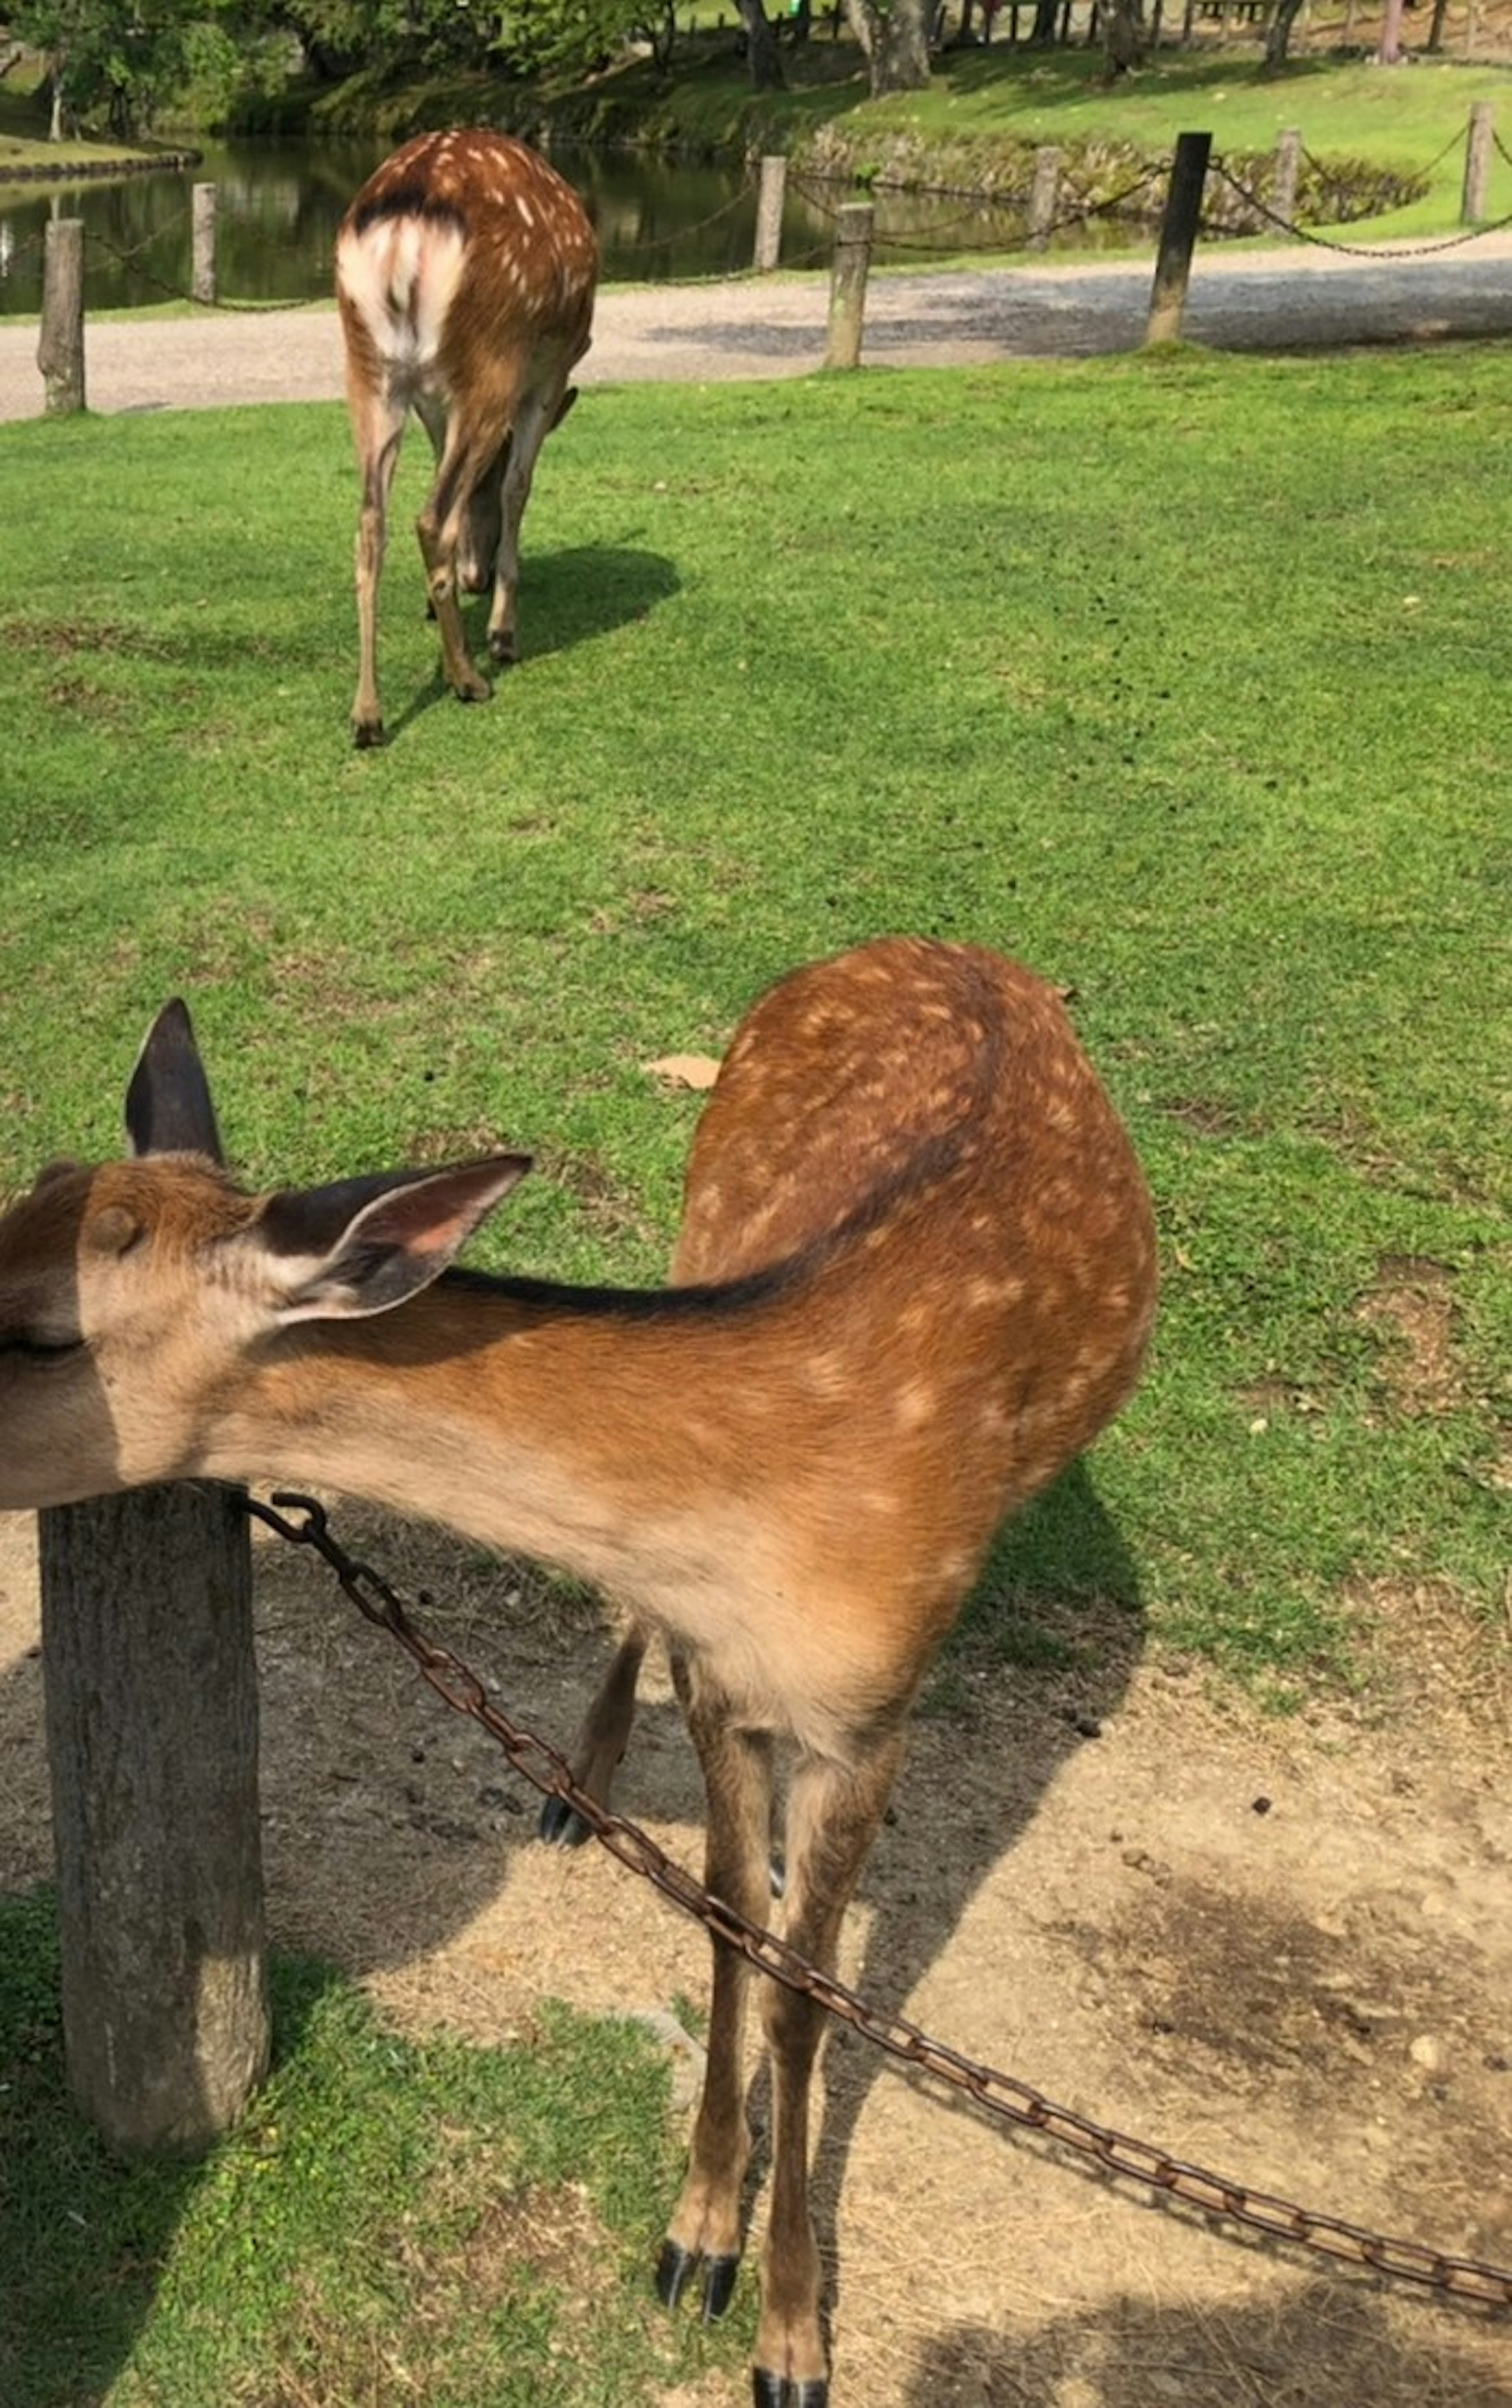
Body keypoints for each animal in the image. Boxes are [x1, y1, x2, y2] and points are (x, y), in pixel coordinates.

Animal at [0, 939, 1156, 2408]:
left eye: (45, 1332)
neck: (779, 1513)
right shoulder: (722, 1674)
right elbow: (724, 1921)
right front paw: (699, 2238)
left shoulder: (868, 1715)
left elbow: (802, 2000)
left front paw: (787, 2334)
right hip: (702, 1210)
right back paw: (579, 1785)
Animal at [337, 129, 597, 741]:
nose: (476, 577)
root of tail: (403, 234)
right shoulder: (549, 376)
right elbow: (519, 486)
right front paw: (503, 633)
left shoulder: (434, 401)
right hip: (492, 356)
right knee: (432, 516)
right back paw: (468, 678)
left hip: (370, 369)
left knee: (370, 523)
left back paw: (368, 714)